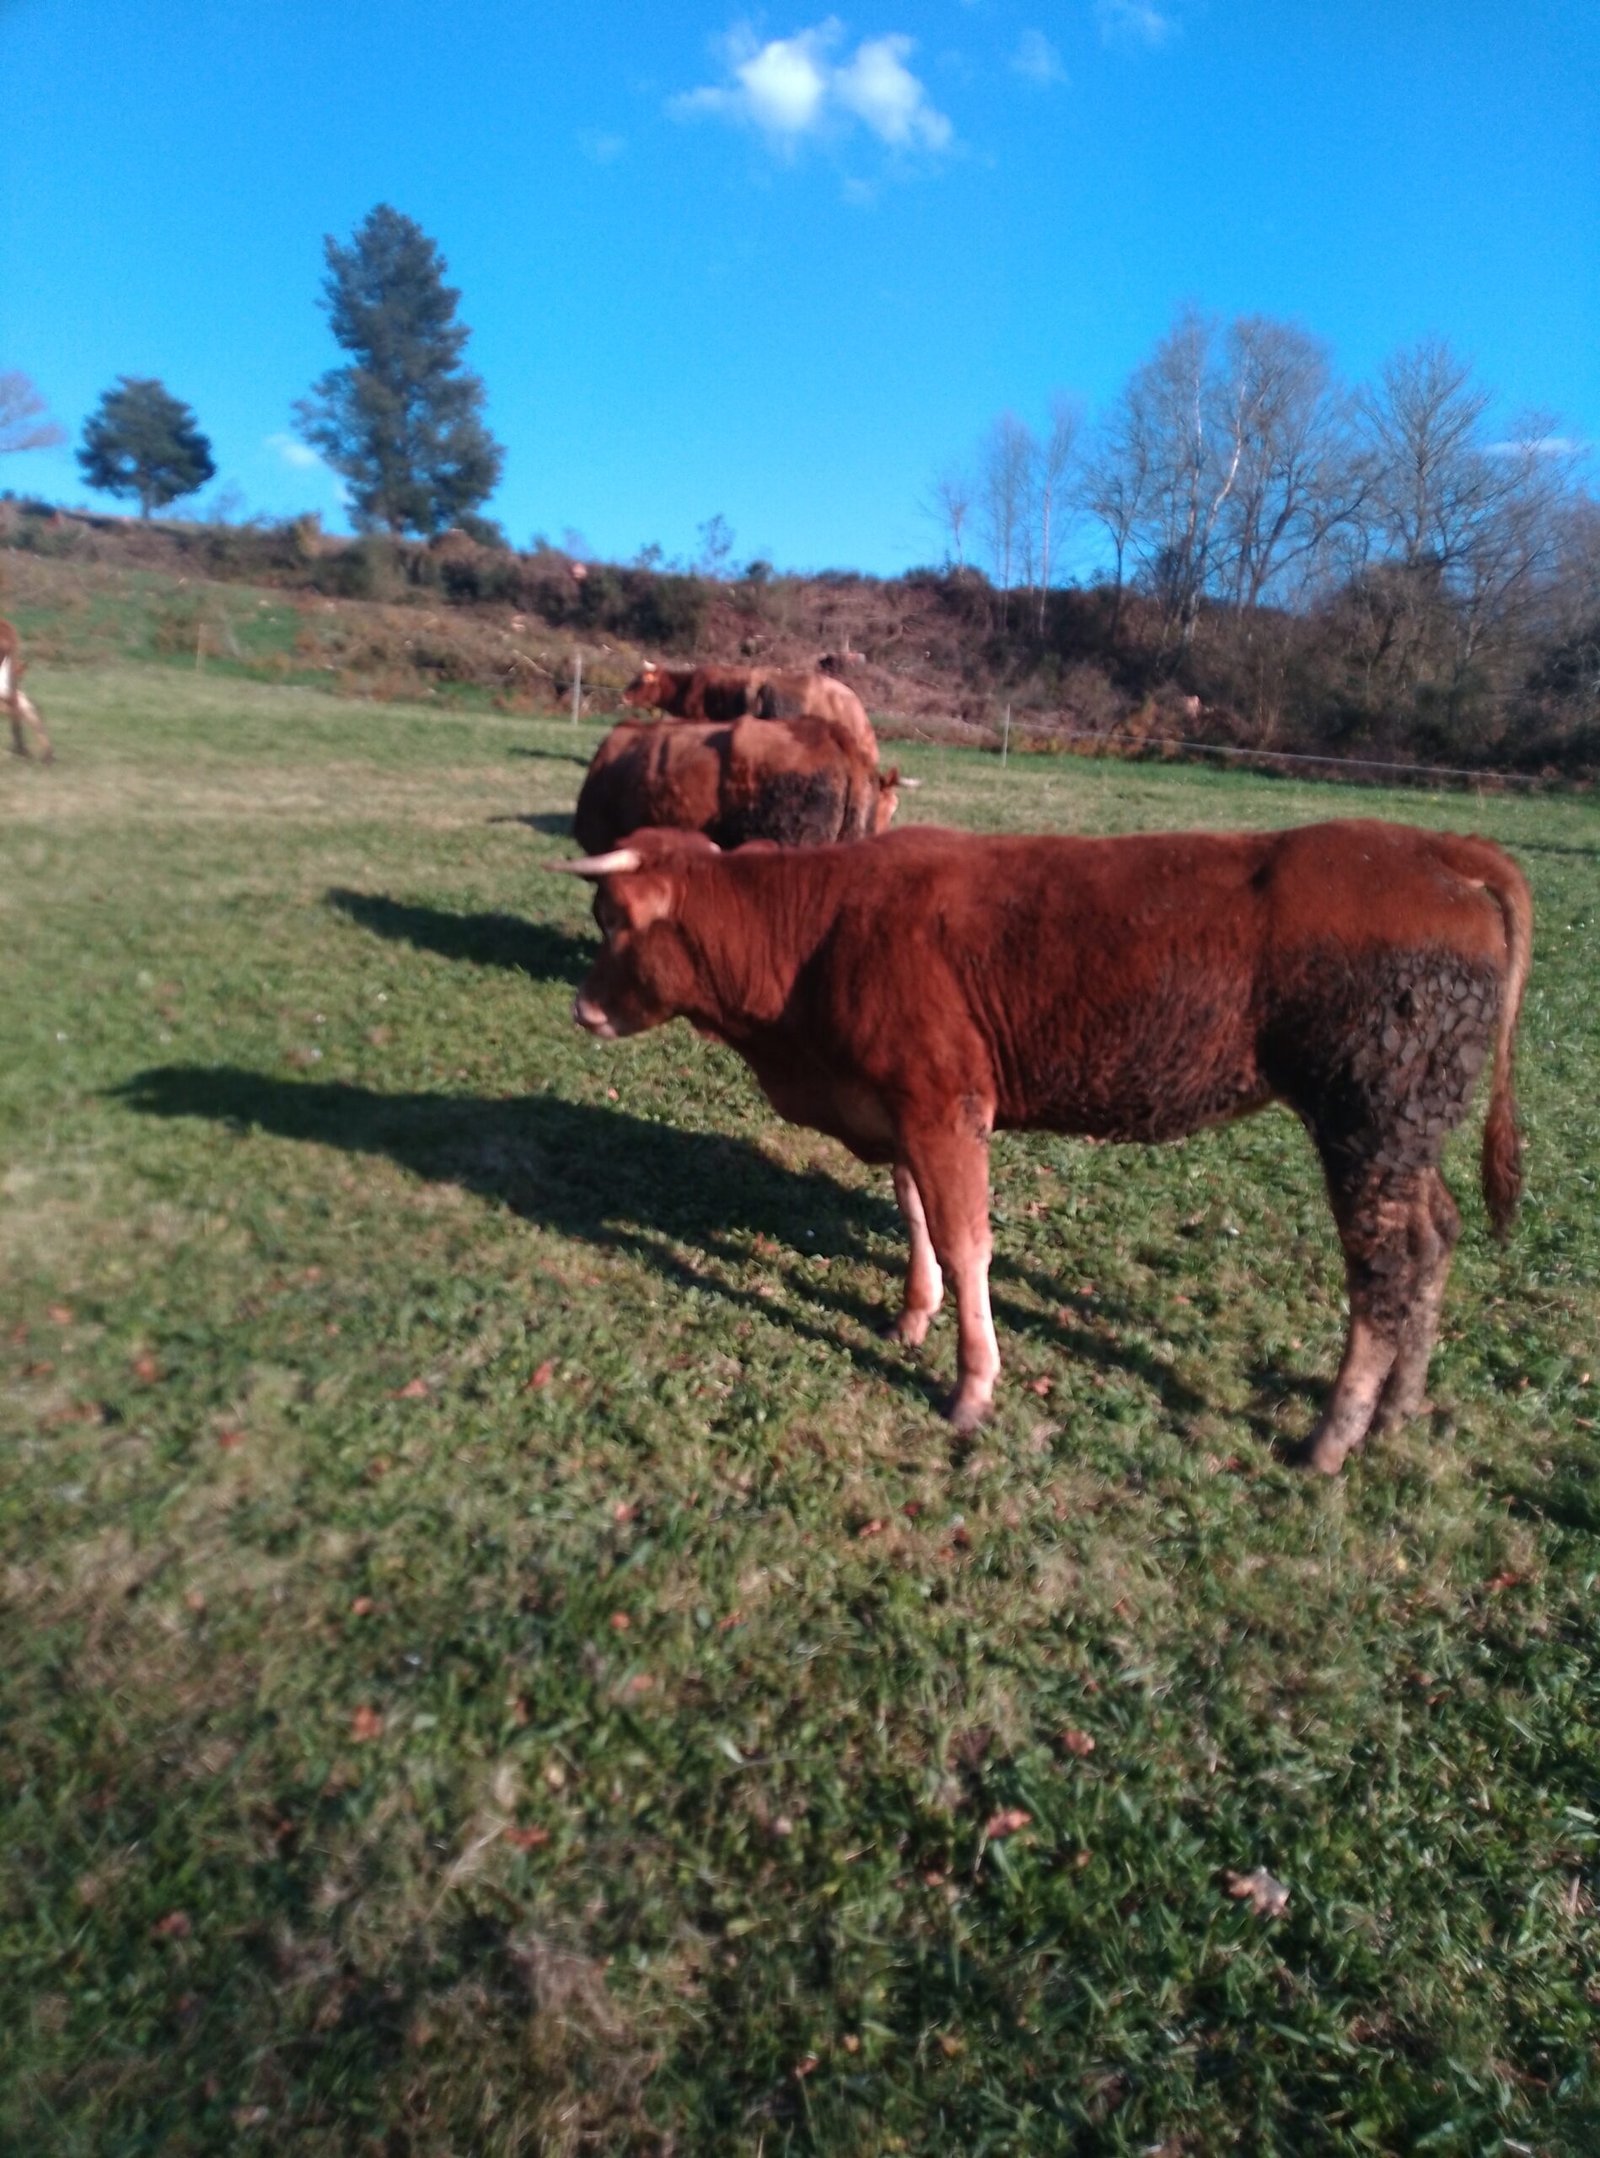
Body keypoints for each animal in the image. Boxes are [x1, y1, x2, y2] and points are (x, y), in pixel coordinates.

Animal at [554, 819, 1532, 1475]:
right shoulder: (902, 1108)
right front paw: (913, 1315)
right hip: (1407, 1132)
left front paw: (973, 1386)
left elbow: (966, 1241)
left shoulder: (946, 1105)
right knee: (1433, 1241)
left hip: (1368, 1122)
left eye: (615, 921)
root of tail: (1430, 847)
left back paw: (1333, 1435)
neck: (817, 936)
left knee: (1383, 1273)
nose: (582, 1009)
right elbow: (916, 1215)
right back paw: (1400, 1407)